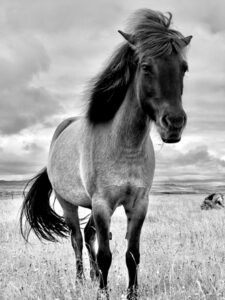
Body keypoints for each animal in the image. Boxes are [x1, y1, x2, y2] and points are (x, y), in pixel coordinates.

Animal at [19, 8, 192, 300]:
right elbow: (105, 255)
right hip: (69, 203)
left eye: (183, 68)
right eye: (146, 67)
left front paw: (131, 293)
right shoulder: (102, 204)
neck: (124, 146)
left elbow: (132, 254)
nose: (174, 123)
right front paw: (103, 292)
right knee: (78, 239)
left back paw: (91, 277)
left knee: (89, 236)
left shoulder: (139, 204)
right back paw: (80, 281)